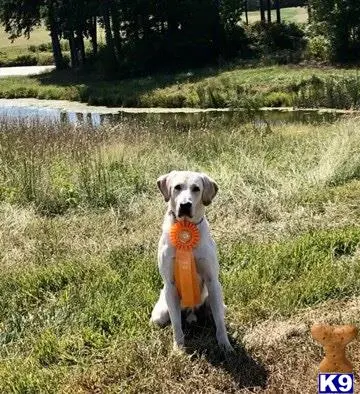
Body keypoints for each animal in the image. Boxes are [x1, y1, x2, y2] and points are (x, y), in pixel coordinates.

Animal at [150, 169, 232, 350]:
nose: (185, 205)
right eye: (177, 187)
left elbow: (220, 322)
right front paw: (179, 348)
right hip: (159, 314)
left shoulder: (212, 281)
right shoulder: (170, 284)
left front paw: (225, 345)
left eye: (196, 188)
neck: (186, 228)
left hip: (216, 301)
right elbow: (176, 323)